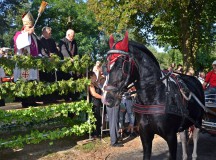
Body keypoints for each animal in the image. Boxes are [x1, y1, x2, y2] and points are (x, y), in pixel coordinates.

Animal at [102, 31, 205, 159]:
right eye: (106, 66)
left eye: (121, 65)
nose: (107, 99)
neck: (152, 99)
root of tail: (195, 79)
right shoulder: (145, 136)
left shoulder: (171, 137)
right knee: (183, 137)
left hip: (197, 121)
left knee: (195, 136)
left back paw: (194, 155)